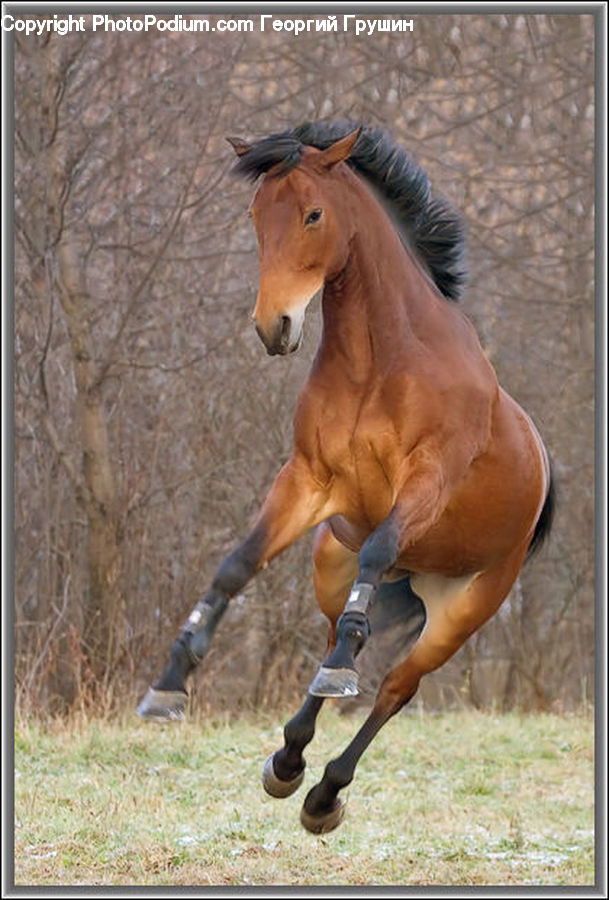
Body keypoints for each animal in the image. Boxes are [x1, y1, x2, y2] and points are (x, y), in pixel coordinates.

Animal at [137, 121, 554, 834]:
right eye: (257, 215)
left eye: (313, 214)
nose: (274, 326)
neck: (380, 360)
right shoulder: (309, 480)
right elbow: (236, 565)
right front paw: (169, 684)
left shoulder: (425, 484)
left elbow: (379, 553)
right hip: (330, 562)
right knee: (337, 637)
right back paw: (287, 762)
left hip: (464, 610)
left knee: (392, 685)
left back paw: (325, 792)